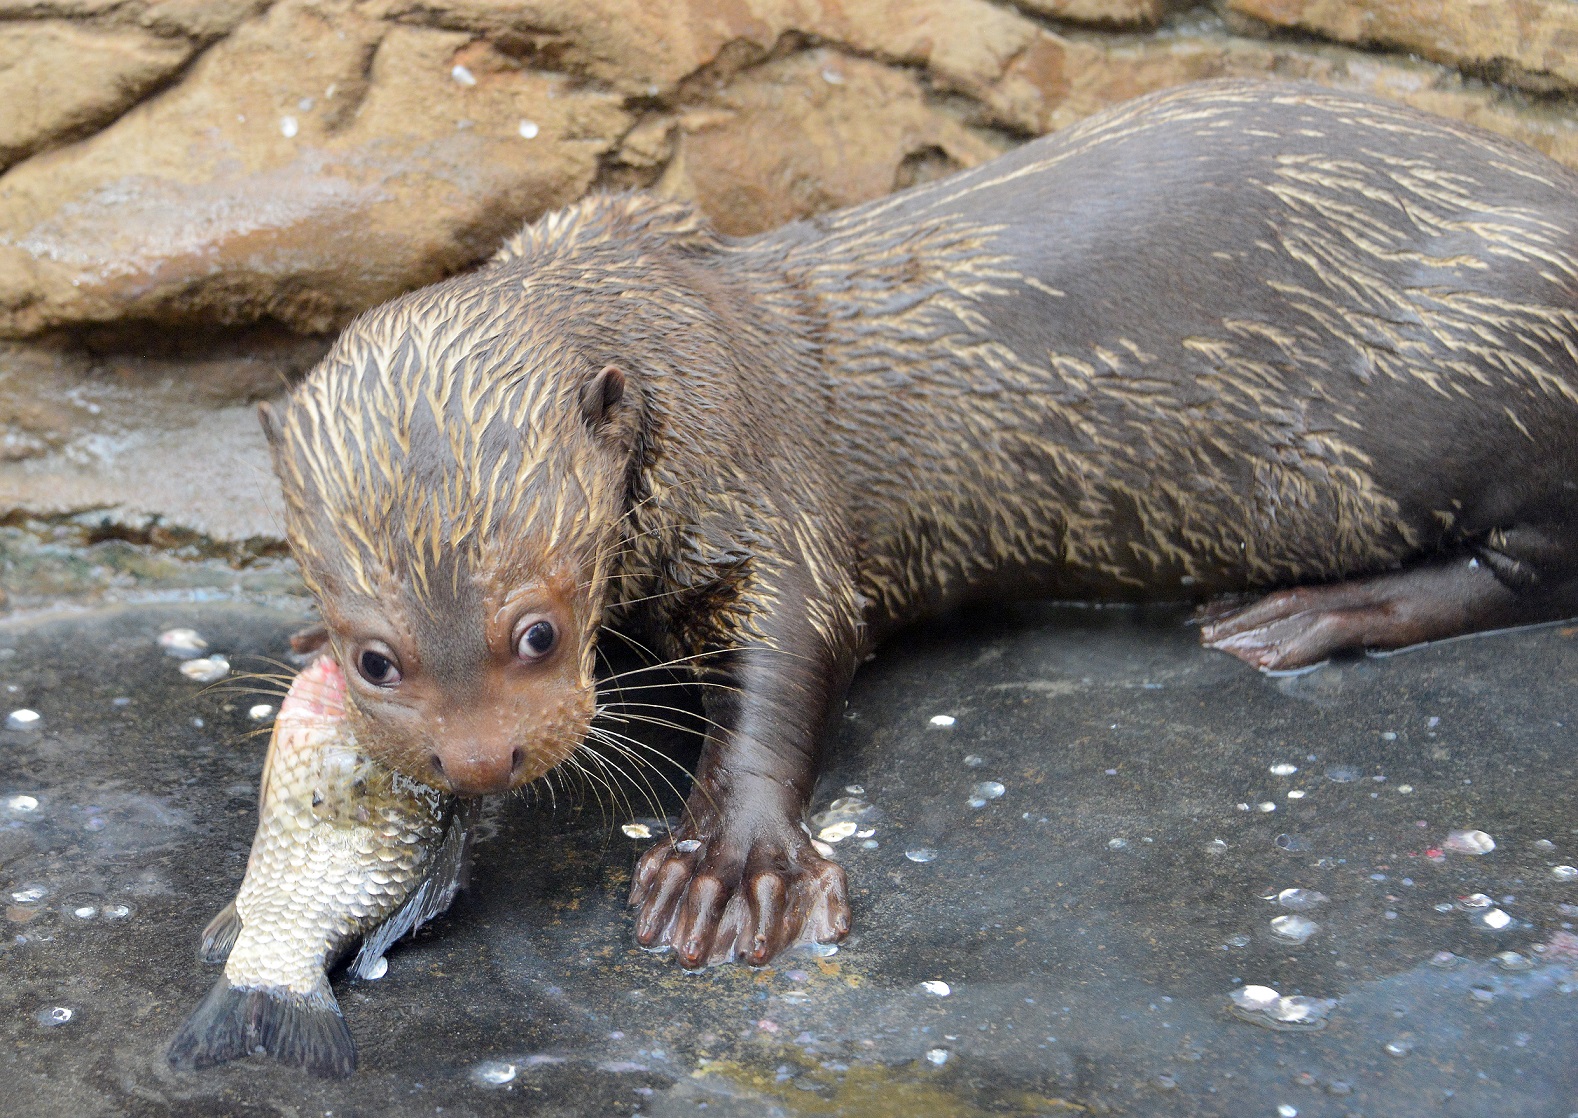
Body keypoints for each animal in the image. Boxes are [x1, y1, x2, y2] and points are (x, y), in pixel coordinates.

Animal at [261, 78, 1578, 966]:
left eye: (537, 630)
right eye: (376, 658)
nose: (481, 758)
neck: (682, 339)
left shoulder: (761, 481)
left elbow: (796, 648)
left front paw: (729, 865)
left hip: (1475, 361)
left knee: (1538, 562)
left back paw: (1313, 611)